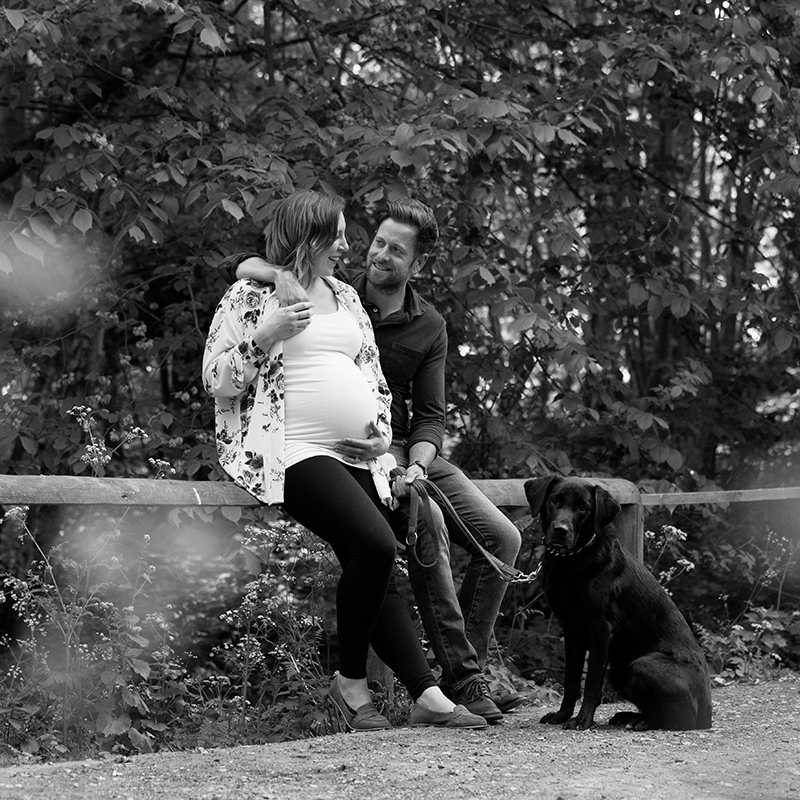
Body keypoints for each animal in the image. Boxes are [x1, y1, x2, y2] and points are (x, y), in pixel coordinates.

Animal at [524, 476, 712, 732]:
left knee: (680, 718)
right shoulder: (572, 629)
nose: (560, 531)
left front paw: (582, 720)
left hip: (641, 666)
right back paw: (628, 716)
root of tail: (707, 714)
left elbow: (592, 682)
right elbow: (571, 680)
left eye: (583, 507)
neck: (572, 562)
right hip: (619, 671)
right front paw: (562, 715)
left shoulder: (602, 629)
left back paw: (640, 721)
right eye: (554, 500)